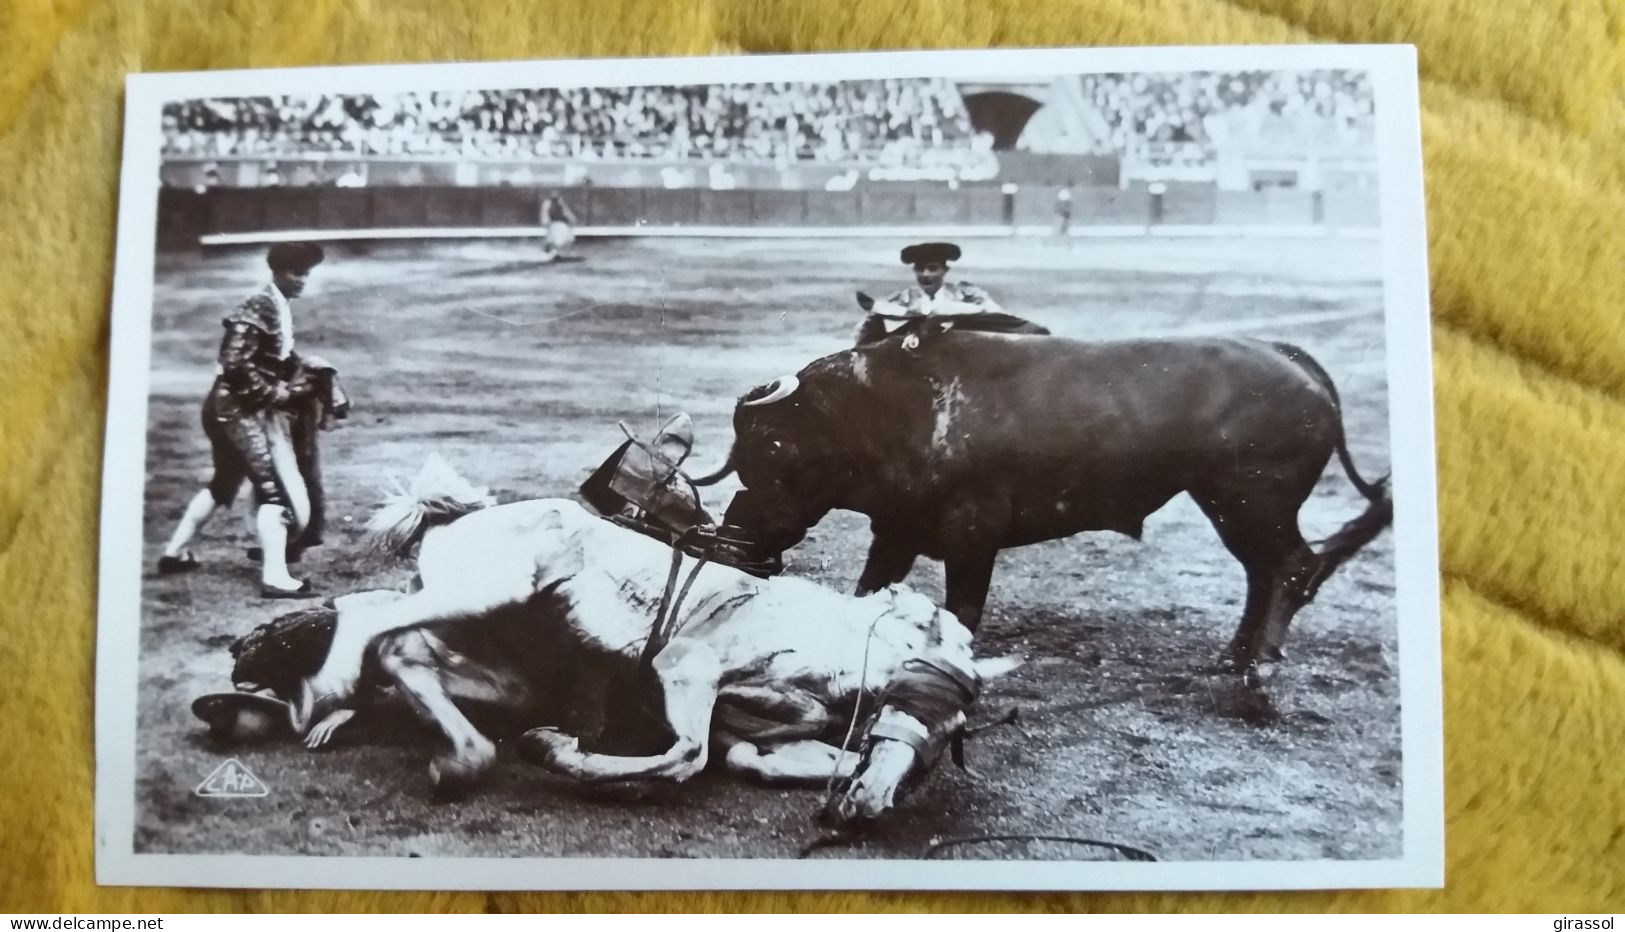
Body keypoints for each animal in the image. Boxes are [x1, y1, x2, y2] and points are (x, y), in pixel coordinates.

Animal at [692, 321, 1391, 672]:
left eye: (775, 447)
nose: (733, 541)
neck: (885, 409)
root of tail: (1284, 355)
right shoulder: (896, 530)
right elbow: (868, 594)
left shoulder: (972, 537)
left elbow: (962, 612)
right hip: (1231, 506)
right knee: (1265, 573)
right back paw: (1233, 658)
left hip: (1253, 504)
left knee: (1293, 566)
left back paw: (1258, 671)